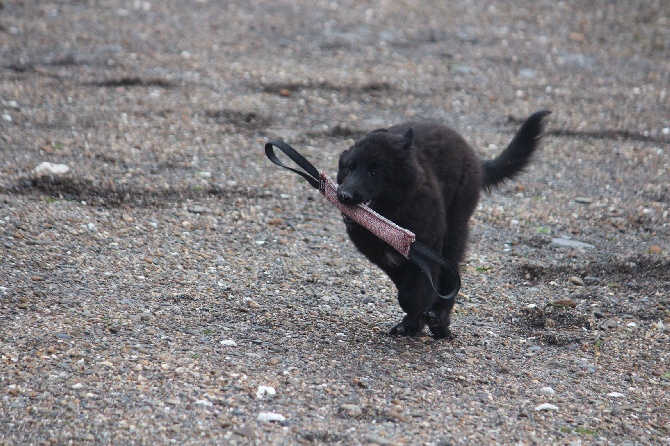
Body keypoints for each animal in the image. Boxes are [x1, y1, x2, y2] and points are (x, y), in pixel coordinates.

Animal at [336, 110, 552, 338]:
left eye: (374, 172)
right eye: (350, 167)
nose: (343, 195)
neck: (392, 216)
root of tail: (474, 158)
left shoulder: (428, 246)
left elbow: (415, 293)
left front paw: (423, 314)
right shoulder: (387, 257)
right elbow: (408, 287)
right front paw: (412, 322)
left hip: (454, 230)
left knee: (451, 276)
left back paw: (439, 319)